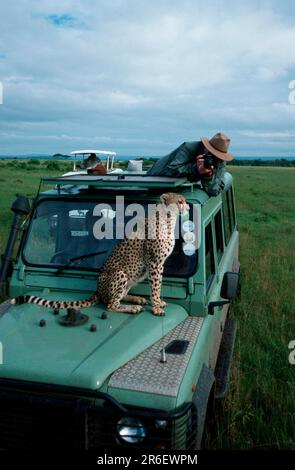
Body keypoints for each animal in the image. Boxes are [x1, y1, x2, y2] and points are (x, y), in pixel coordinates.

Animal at [11, 191, 190, 316]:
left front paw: (158, 302)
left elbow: (158, 285)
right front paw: (157, 307)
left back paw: (136, 298)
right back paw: (132, 307)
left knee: (118, 297)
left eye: (185, 201)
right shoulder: (155, 262)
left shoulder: (159, 263)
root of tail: (97, 289)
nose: (188, 207)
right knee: (111, 304)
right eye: (180, 201)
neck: (168, 219)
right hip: (121, 273)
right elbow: (156, 286)